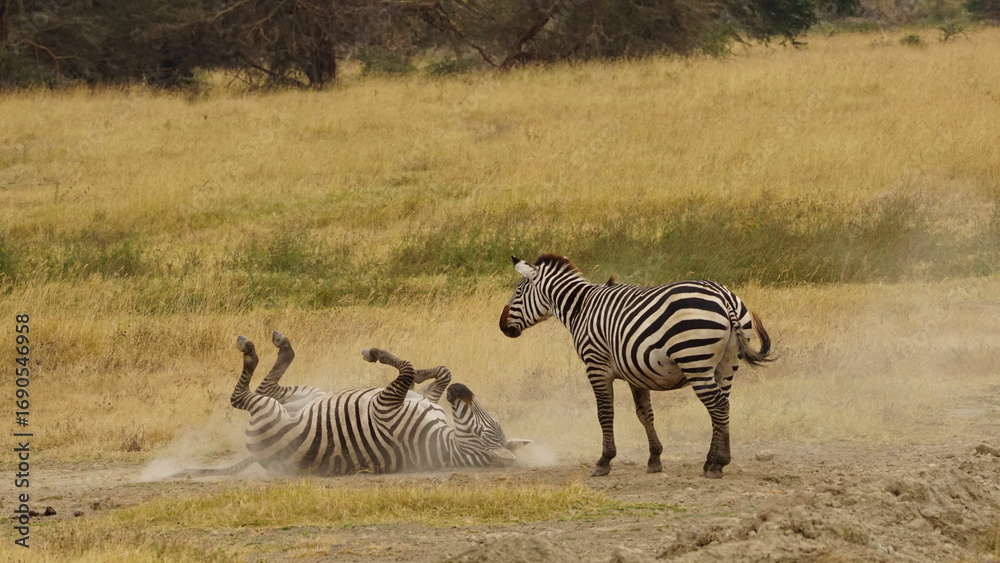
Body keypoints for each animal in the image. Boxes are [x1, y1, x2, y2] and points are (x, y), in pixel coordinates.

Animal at [174, 331, 529, 478]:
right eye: (491, 422)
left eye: (484, 429)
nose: (460, 391)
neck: (443, 442)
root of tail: (259, 456)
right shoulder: (424, 400)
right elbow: (437, 371)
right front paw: (424, 376)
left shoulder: (386, 406)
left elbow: (407, 368)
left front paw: (375, 354)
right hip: (310, 395)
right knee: (269, 385)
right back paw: (283, 344)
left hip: (268, 413)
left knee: (242, 396)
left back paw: (250, 348)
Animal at [498, 254, 773, 479]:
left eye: (518, 292)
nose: (502, 326)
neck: (580, 309)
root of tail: (724, 297)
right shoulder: (636, 373)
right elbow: (645, 414)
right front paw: (654, 459)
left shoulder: (596, 366)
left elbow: (605, 414)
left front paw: (604, 461)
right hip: (727, 365)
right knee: (723, 406)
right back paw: (712, 461)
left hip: (695, 359)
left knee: (717, 406)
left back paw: (717, 464)